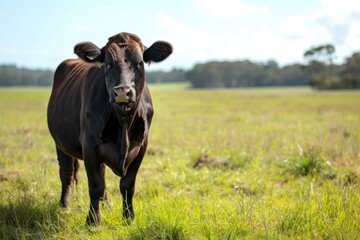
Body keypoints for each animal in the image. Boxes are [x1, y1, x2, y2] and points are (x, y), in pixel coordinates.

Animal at [47, 32, 173, 225]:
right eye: (107, 63)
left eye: (139, 62)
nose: (122, 92)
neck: (123, 123)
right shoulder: (89, 146)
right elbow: (95, 185)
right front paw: (93, 221)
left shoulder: (142, 146)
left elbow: (127, 185)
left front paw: (128, 218)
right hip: (60, 143)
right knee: (66, 173)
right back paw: (64, 205)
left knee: (102, 172)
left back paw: (106, 204)